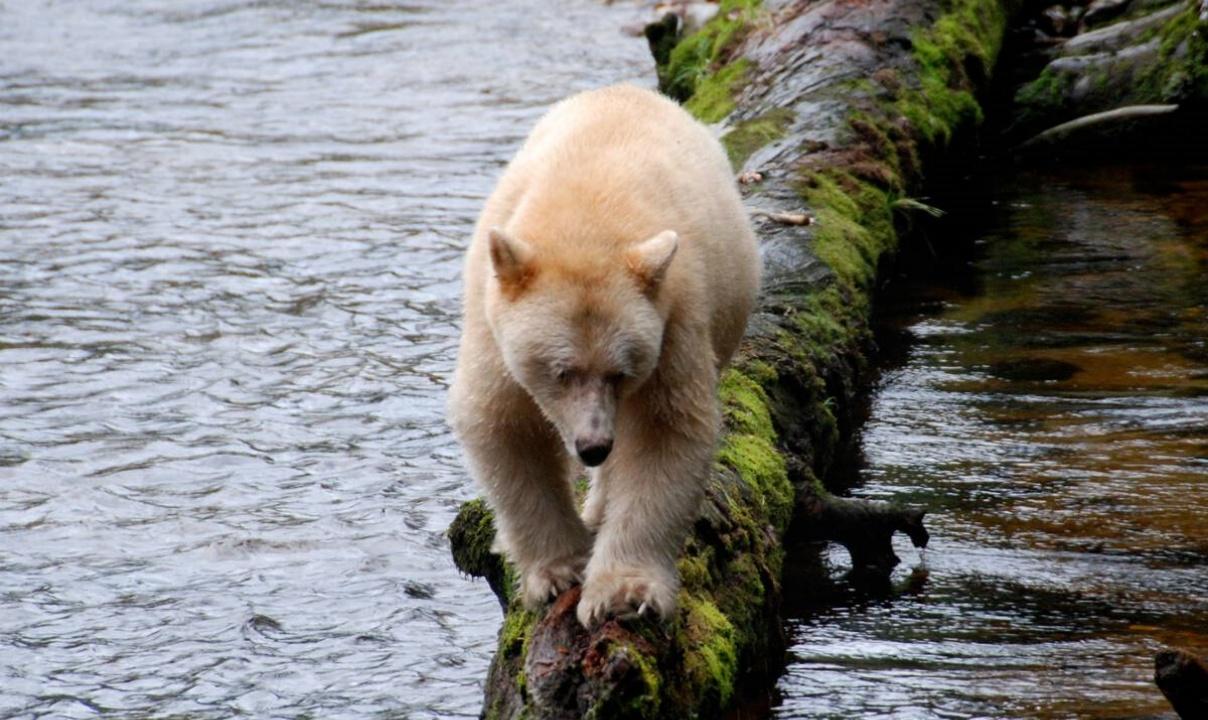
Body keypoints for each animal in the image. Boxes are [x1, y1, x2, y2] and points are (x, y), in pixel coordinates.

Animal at [449, 82, 758, 623]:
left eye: (621, 372)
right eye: (561, 372)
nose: (593, 446)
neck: (585, 211)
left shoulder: (673, 315)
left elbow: (664, 429)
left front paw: (623, 593)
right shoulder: (491, 318)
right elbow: (503, 421)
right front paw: (558, 572)